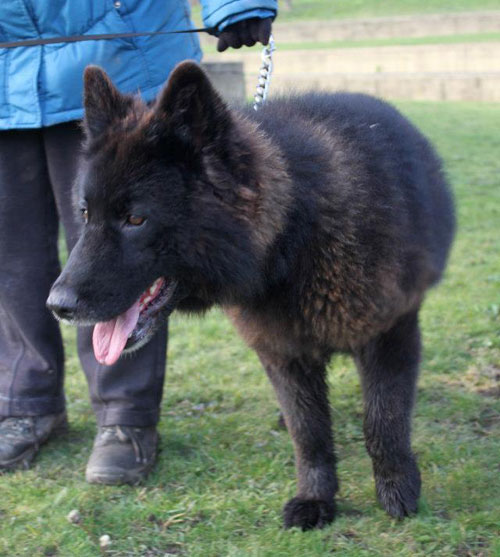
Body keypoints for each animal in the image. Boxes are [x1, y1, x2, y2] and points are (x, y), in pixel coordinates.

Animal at [47, 60, 458, 528]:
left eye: (135, 219)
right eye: (85, 213)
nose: (57, 305)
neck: (294, 233)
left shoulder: (388, 332)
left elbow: (383, 419)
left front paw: (396, 489)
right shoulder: (282, 351)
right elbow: (308, 433)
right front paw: (316, 498)